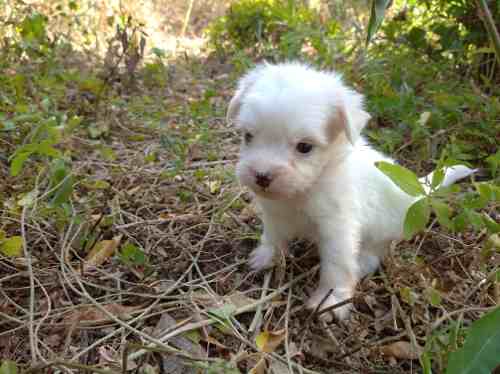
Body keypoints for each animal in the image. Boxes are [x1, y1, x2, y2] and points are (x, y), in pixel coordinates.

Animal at [229, 62, 474, 320]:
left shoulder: (339, 228)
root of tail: (414, 194)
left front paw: (331, 300)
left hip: (382, 230)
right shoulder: (274, 213)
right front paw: (266, 256)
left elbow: (337, 265)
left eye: (304, 147)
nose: (262, 175)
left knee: (374, 254)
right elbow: (273, 236)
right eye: (248, 136)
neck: (305, 190)